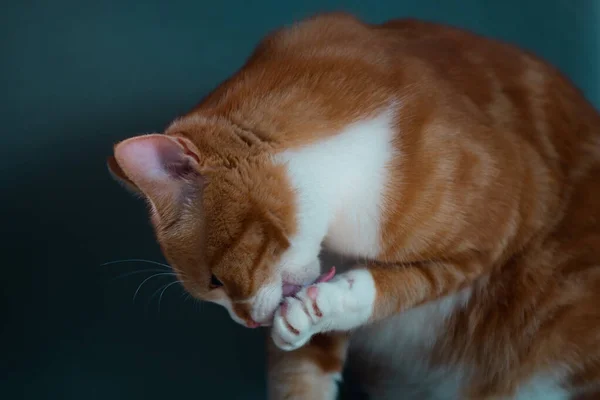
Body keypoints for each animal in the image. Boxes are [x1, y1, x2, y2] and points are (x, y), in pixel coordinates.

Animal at [106, 12, 600, 400]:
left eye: (216, 281)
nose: (247, 324)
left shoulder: (508, 215)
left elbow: (411, 281)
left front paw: (328, 302)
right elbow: (301, 375)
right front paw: (303, 324)